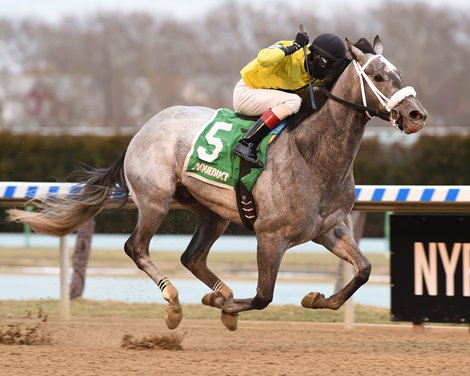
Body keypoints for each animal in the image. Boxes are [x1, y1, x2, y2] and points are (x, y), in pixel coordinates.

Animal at [8, 36, 426, 330]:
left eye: (400, 73)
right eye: (378, 76)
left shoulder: (330, 229)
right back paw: (176, 301)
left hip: (214, 212)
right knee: (136, 247)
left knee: (191, 256)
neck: (312, 156)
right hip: (156, 200)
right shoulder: (270, 236)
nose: (416, 114)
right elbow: (263, 296)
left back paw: (219, 292)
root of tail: (142, 130)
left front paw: (314, 298)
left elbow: (364, 270)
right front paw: (226, 308)